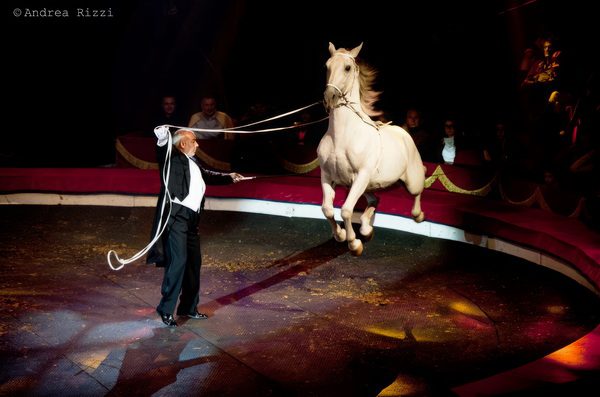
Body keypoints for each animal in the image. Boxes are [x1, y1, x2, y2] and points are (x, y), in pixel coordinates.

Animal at [316, 41, 424, 255]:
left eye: (347, 68)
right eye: (327, 66)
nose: (329, 97)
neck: (341, 137)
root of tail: (403, 132)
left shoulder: (362, 174)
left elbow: (346, 210)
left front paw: (353, 244)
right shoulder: (327, 175)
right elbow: (328, 209)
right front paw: (340, 235)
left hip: (408, 181)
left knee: (417, 191)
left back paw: (417, 215)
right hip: (365, 185)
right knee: (375, 200)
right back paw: (366, 229)